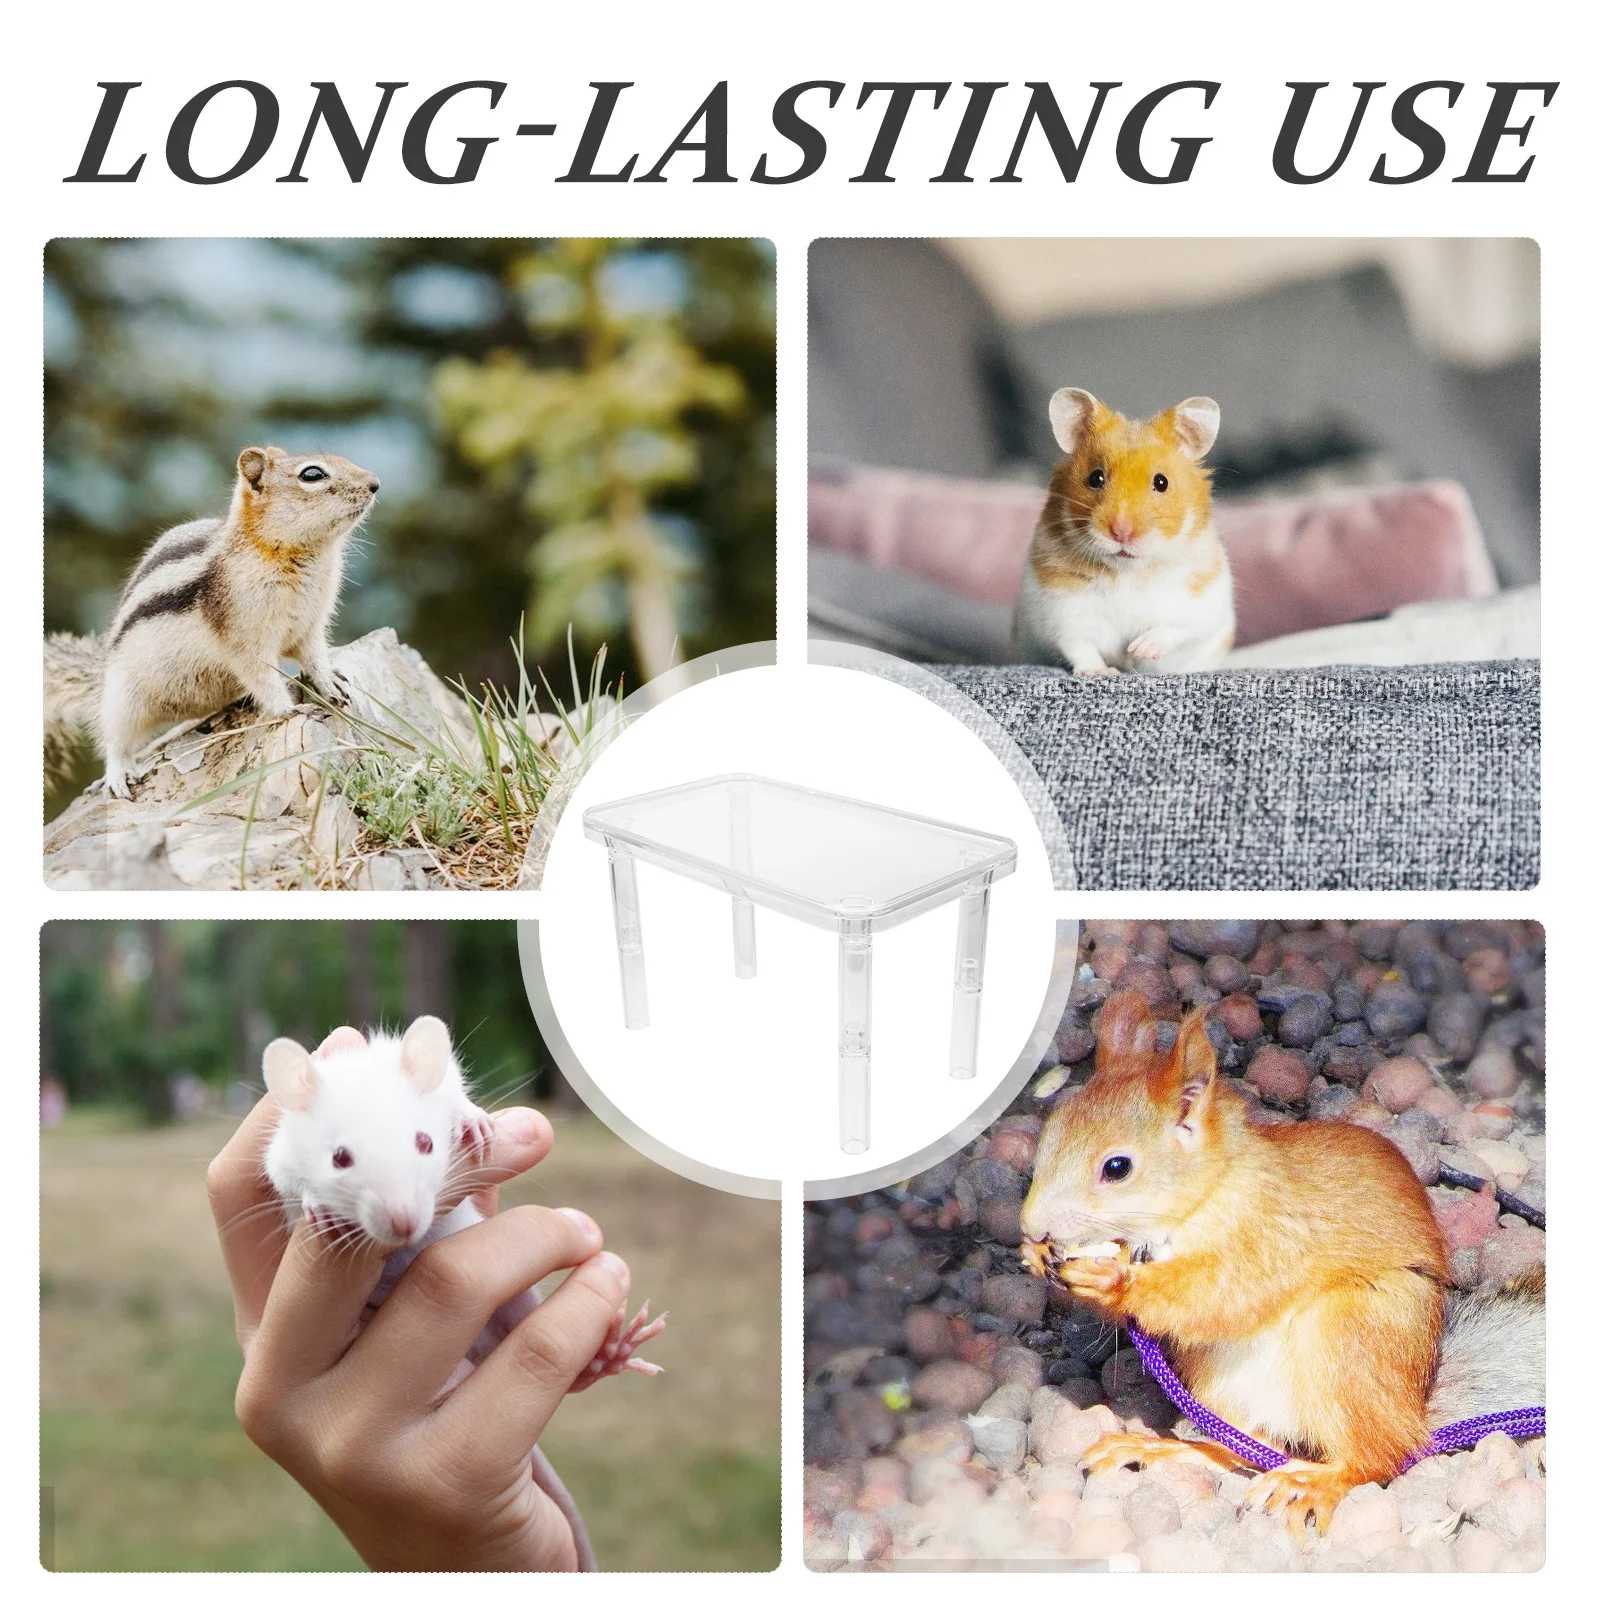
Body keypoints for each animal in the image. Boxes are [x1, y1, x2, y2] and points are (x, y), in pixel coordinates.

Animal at [262, 1015, 666, 1570]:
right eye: (340, 1158)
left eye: (425, 1142)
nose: (406, 1225)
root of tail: (478, 1349)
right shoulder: (279, 1154)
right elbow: (283, 1178)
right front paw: (315, 1206)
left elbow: (457, 1099)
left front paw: (475, 1122)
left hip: (517, 1302)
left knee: (575, 1373)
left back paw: (610, 1353)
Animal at [1012, 389, 1235, 675]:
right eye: (1095, 478)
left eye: (1161, 482)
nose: (1121, 532)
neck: (1127, 572)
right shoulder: (1061, 610)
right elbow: (1079, 645)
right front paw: (1101, 672)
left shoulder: (1201, 603)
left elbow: (1175, 628)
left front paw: (1140, 649)